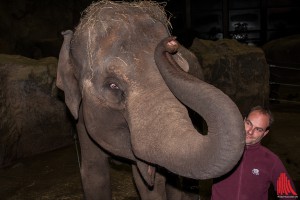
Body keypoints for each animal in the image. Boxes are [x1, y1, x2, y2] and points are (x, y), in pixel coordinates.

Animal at [55, 0, 244, 199]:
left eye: (182, 67)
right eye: (113, 86)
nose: (171, 42)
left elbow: (152, 182)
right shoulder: (82, 120)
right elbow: (94, 174)